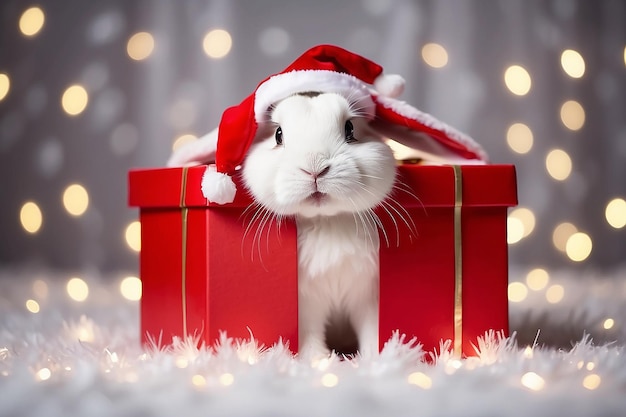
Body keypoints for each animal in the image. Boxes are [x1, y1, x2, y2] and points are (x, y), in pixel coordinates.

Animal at [240, 92, 394, 358]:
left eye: (350, 128)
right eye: (278, 134)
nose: (315, 168)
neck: (326, 221)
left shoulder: (368, 294)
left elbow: (371, 327)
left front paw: (374, 358)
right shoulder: (306, 302)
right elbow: (309, 331)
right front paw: (317, 359)